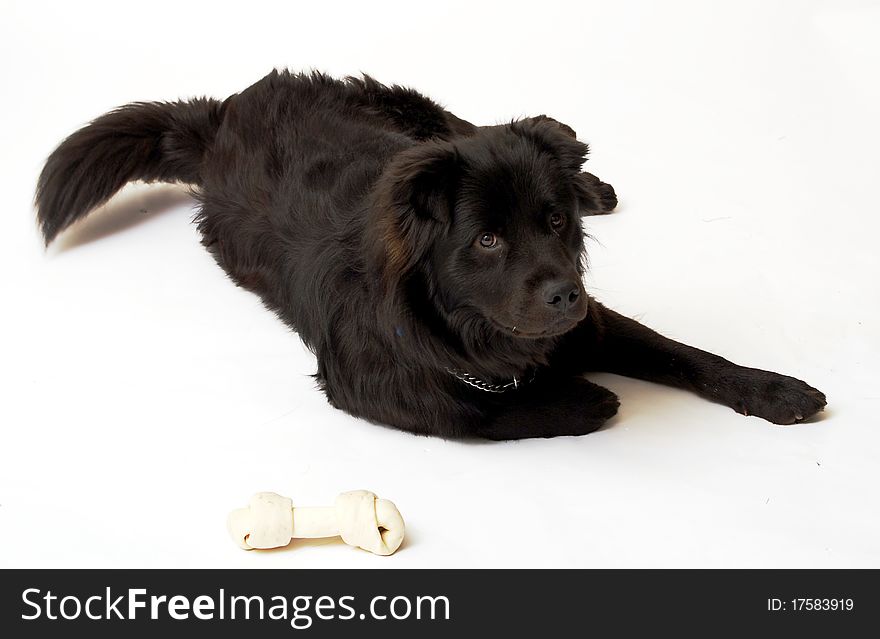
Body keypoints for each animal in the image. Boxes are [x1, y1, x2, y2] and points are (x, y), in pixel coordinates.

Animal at [37, 71, 828, 440]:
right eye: (487, 240)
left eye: (554, 222)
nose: (564, 292)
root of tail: (220, 116)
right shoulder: (370, 383)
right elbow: (477, 409)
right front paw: (584, 398)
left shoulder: (593, 324)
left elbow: (687, 354)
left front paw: (775, 390)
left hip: (421, 120)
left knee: (482, 125)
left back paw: (592, 178)